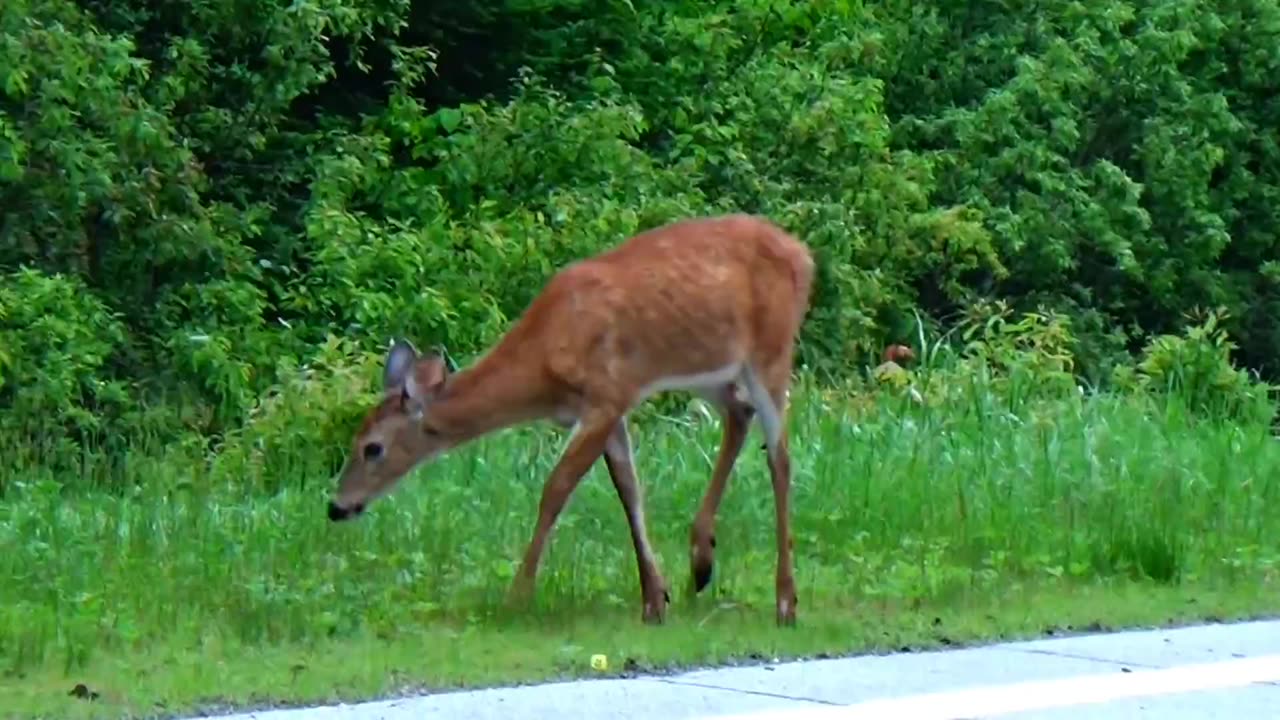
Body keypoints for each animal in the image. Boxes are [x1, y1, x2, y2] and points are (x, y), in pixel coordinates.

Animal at [325, 211, 814, 622]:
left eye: (373, 448)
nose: (336, 506)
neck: (544, 359)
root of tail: (804, 255)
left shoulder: (604, 397)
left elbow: (556, 488)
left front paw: (518, 596)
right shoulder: (610, 406)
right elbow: (629, 491)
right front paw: (655, 598)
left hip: (771, 350)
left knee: (780, 456)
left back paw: (785, 600)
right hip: (711, 367)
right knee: (739, 412)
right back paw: (702, 560)